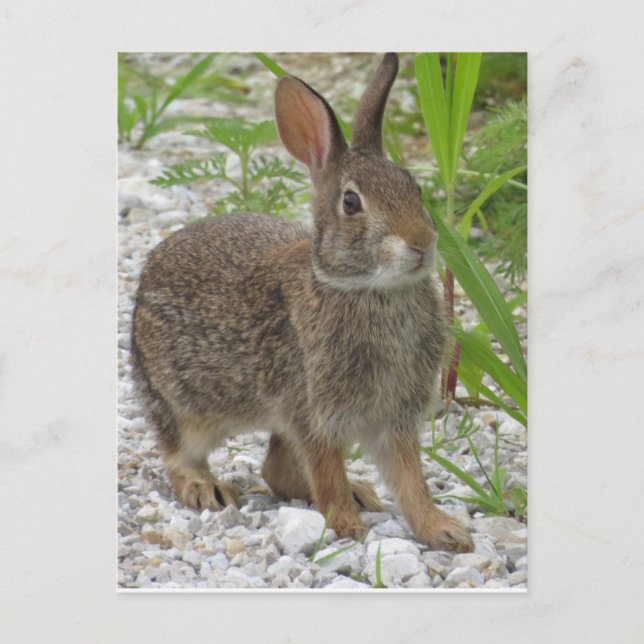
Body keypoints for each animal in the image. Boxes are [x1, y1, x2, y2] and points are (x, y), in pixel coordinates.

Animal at [131, 53, 473, 553]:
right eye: (351, 202)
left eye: (415, 188)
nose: (422, 244)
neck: (367, 289)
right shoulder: (316, 412)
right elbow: (327, 470)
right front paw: (346, 528)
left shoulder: (395, 416)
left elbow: (411, 479)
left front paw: (442, 530)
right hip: (184, 406)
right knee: (178, 455)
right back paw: (208, 488)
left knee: (276, 468)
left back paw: (359, 491)